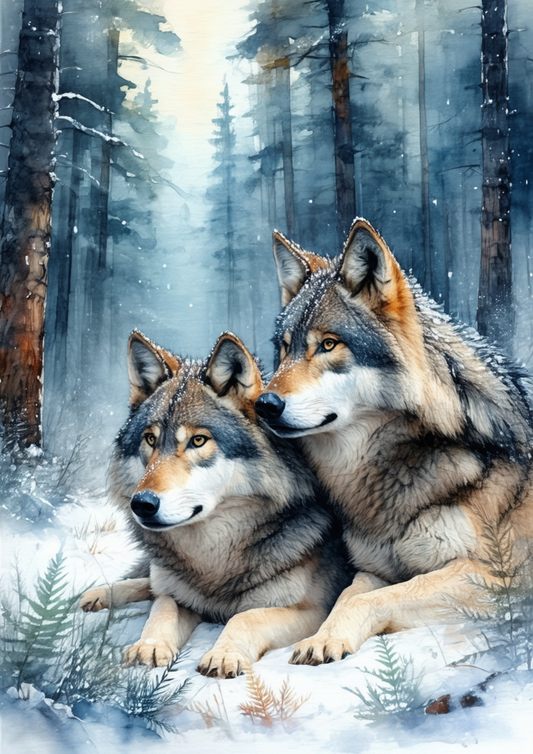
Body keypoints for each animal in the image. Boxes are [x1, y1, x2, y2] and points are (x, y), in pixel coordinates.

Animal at [79, 330, 350, 678]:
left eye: (198, 440)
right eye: (150, 439)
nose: (142, 504)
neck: (214, 560)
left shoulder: (313, 609)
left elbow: (244, 617)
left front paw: (223, 655)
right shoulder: (177, 596)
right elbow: (162, 609)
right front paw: (148, 647)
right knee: (148, 584)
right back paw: (97, 595)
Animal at [255, 217, 533, 666]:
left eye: (328, 344)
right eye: (284, 349)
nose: (263, 404)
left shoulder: (499, 574)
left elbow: (370, 600)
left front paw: (325, 641)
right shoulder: (374, 569)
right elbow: (348, 597)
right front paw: (324, 634)